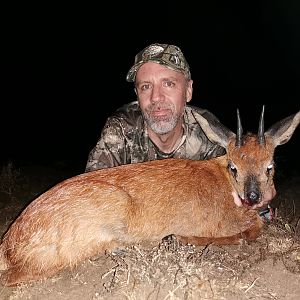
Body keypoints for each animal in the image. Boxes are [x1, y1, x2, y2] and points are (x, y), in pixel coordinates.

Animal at [0, 108, 298, 286]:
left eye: (270, 166)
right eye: (233, 167)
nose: (253, 196)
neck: (226, 186)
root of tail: (9, 244)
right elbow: (251, 232)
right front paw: (182, 239)